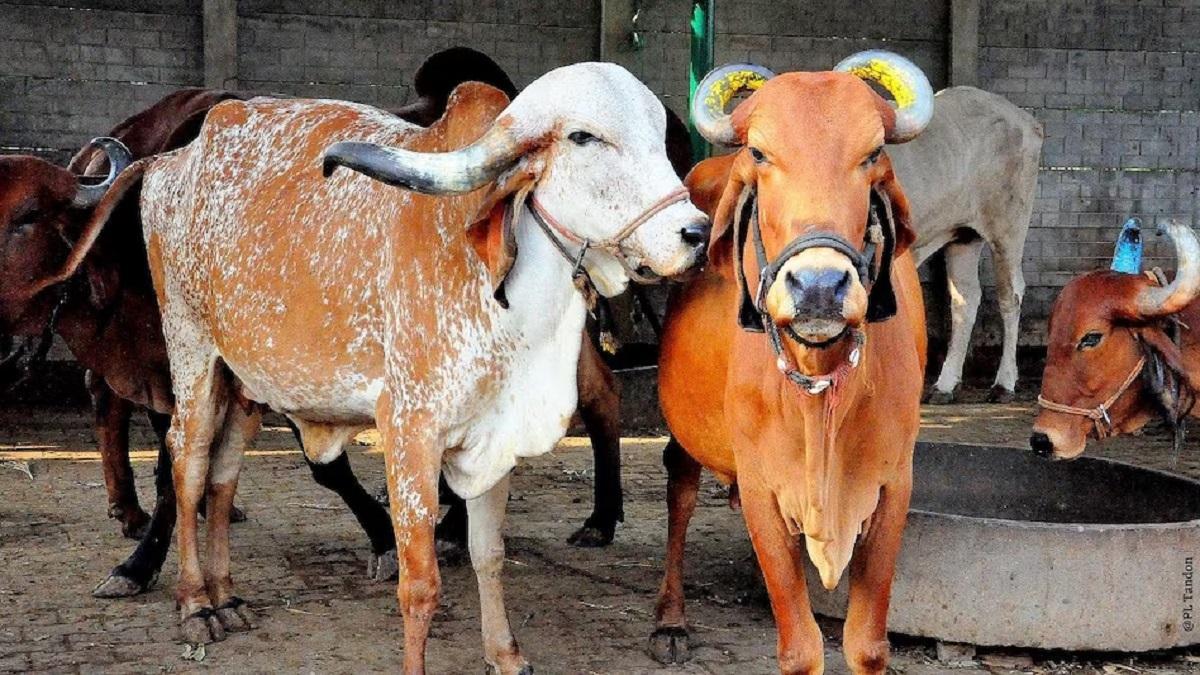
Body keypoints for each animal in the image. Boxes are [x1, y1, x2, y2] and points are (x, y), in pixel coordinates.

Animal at [110, 62, 705, 670]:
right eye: (583, 137)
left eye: (660, 136)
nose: (697, 233)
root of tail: (171, 161)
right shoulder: (410, 434)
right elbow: (421, 586)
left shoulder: (495, 438)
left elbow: (489, 554)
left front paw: (504, 653)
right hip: (193, 353)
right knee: (187, 464)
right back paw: (195, 604)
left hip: (246, 382)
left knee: (225, 471)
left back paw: (226, 595)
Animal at [650, 51, 931, 673]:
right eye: (760, 153)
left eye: (872, 154)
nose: (819, 287)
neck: (821, 391)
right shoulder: (763, 491)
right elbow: (800, 647)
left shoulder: (894, 486)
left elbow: (867, 644)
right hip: (686, 435)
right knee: (680, 489)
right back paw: (670, 620)